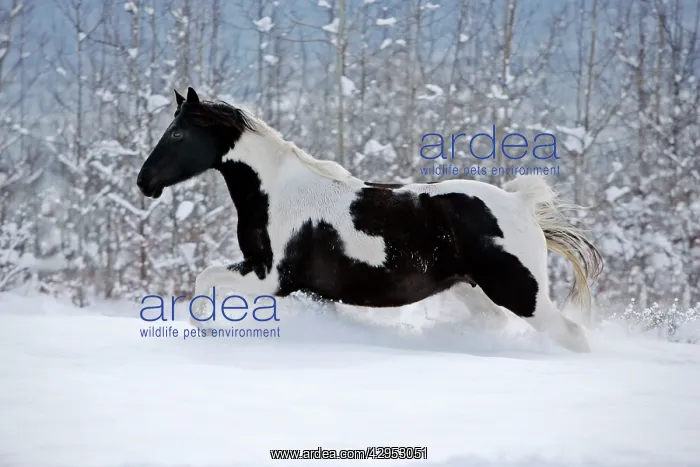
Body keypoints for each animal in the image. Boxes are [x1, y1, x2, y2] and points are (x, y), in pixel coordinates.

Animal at [137, 87, 603, 352]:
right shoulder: (307, 289)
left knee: (571, 336)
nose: (145, 182)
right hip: (471, 289)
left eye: (177, 133)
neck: (274, 193)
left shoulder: (271, 279)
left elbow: (206, 281)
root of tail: (520, 204)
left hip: (521, 293)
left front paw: (205, 329)